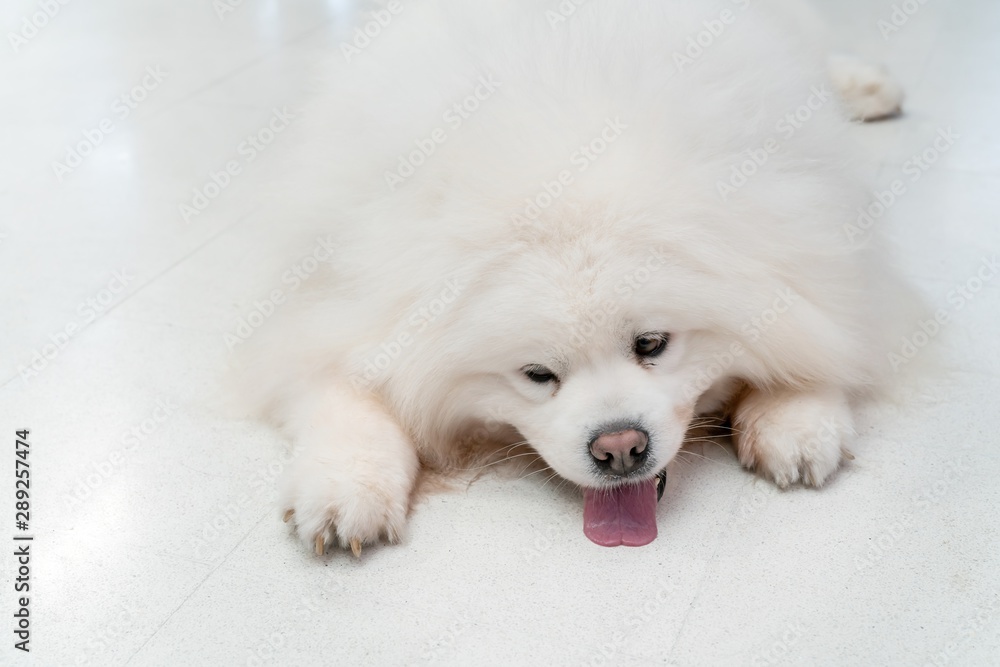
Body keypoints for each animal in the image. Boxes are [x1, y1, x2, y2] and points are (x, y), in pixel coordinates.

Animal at [242, 0, 916, 552]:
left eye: (652, 344)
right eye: (538, 375)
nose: (619, 448)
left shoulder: (811, 226)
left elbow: (826, 327)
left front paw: (795, 421)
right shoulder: (333, 295)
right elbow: (343, 391)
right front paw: (345, 487)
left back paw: (865, 86)